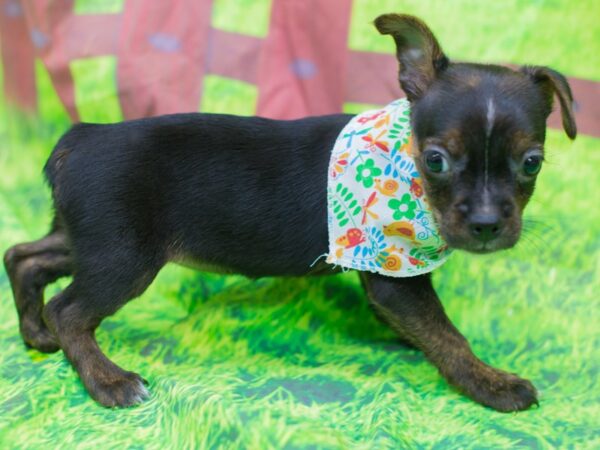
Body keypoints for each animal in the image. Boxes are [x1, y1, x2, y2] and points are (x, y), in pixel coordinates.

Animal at [4, 14, 576, 412]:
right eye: (436, 160)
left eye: (531, 163)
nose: (486, 225)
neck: (404, 163)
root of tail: (80, 138)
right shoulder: (394, 274)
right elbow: (449, 335)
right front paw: (490, 383)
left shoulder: (391, 277)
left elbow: (428, 327)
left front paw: (412, 343)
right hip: (123, 258)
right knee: (70, 311)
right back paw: (108, 382)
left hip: (92, 241)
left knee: (24, 257)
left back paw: (36, 335)